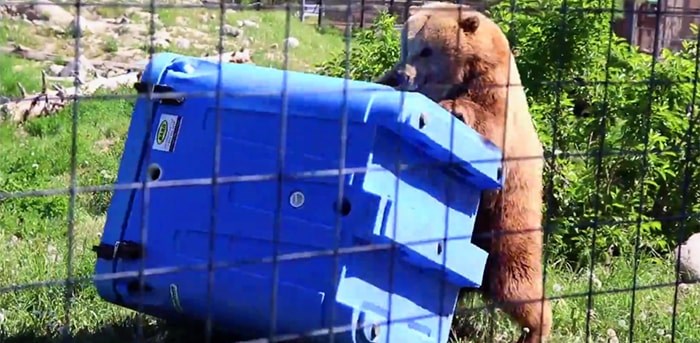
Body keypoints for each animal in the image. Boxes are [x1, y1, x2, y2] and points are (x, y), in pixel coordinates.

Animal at [374, 3, 556, 343]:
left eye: (427, 50)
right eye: (407, 45)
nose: (403, 75)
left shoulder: (495, 91)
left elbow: (487, 123)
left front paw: (453, 107)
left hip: (505, 225)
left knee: (516, 285)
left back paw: (535, 329)